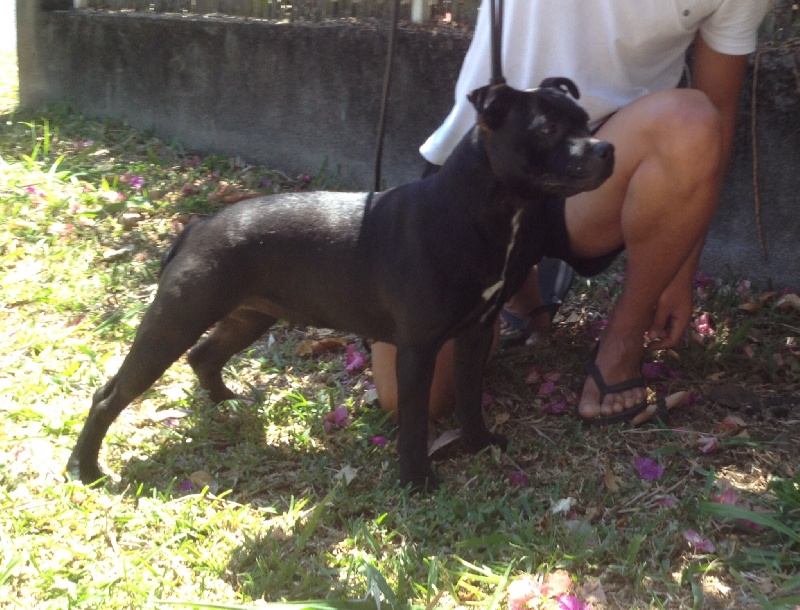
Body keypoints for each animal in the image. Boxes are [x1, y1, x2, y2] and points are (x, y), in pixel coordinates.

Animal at [66, 78, 614, 492]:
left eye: (586, 121)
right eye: (547, 128)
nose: (607, 147)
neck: (477, 208)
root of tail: (197, 227)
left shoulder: (474, 333)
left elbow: (469, 397)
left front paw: (480, 444)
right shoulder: (418, 350)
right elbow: (414, 423)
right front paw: (418, 482)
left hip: (249, 316)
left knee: (204, 356)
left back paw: (229, 406)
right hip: (176, 321)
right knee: (110, 395)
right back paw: (89, 470)